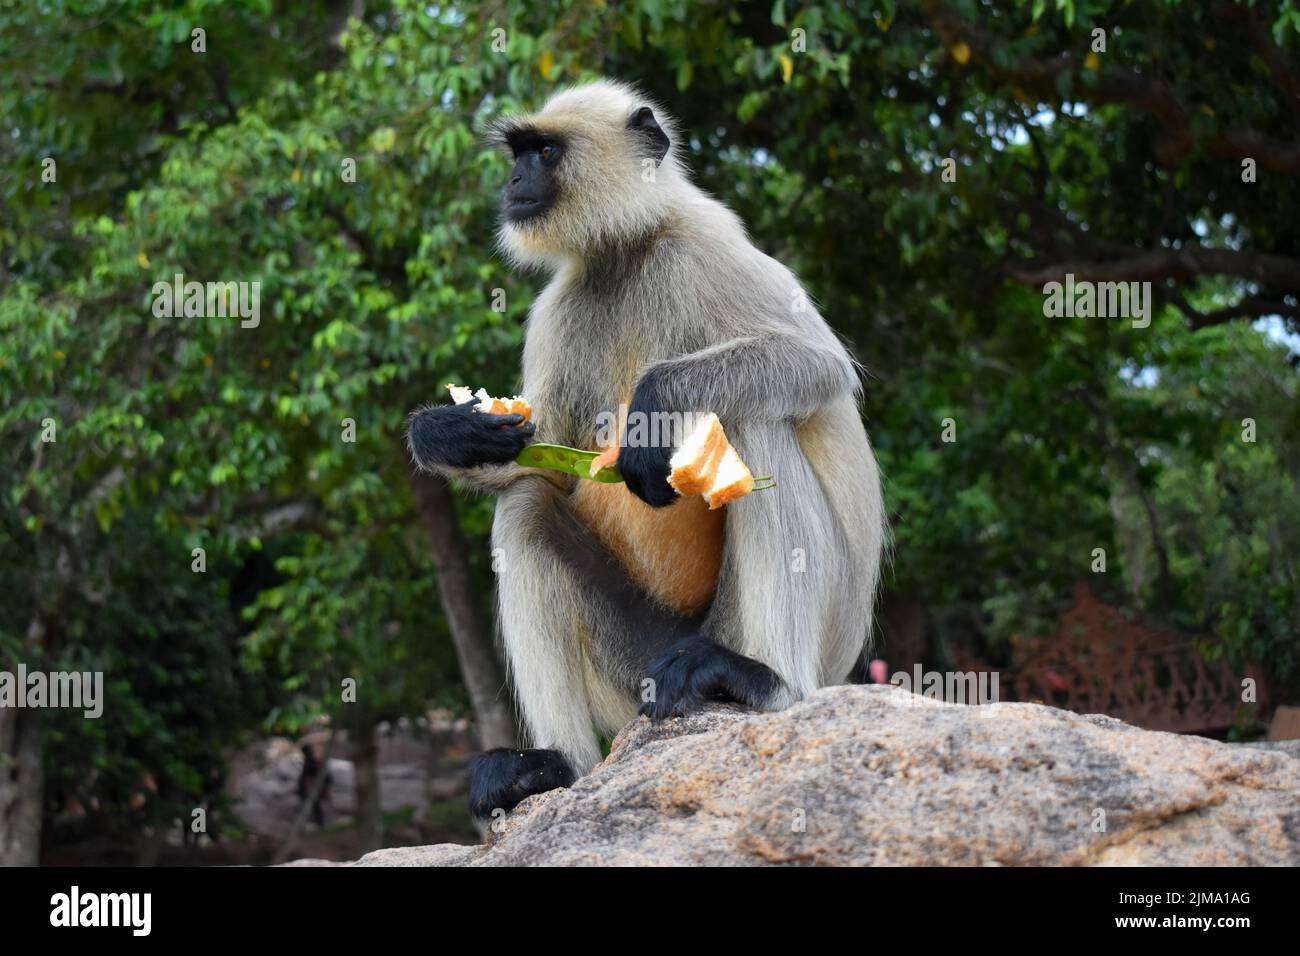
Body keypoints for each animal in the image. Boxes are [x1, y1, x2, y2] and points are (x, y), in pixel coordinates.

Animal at [410, 78, 889, 816]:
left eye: (544, 153)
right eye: (519, 154)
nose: (514, 182)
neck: (628, 249)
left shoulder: (708, 241)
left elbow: (819, 365)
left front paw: (653, 408)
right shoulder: (560, 306)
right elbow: (539, 458)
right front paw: (446, 431)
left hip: (774, 631)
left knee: (757, 422)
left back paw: (768, 682)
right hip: (633, 666)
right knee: (526, 506)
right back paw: (554, 767)